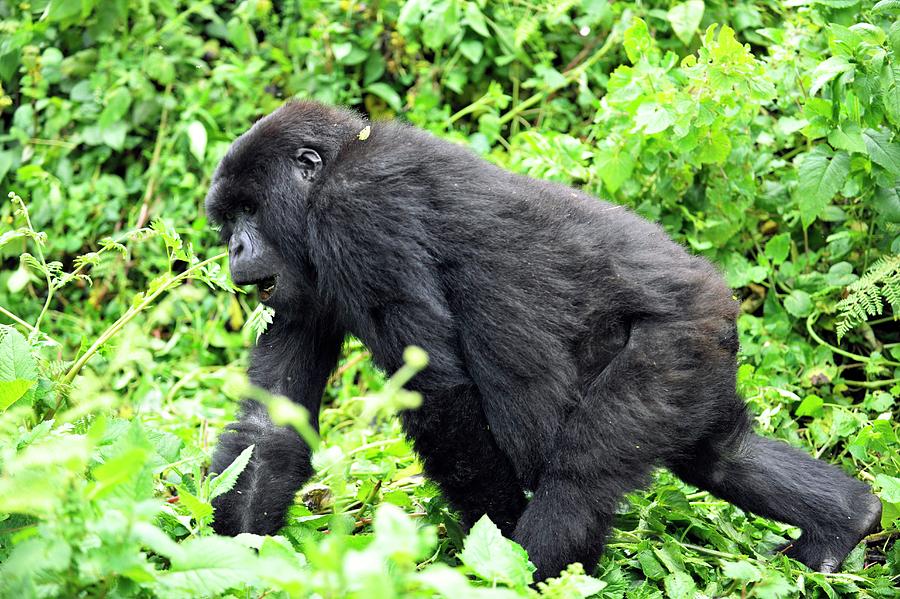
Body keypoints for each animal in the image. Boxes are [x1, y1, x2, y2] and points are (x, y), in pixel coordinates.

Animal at [204, 101, 880, 580]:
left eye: (249, 211)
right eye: (228, 219)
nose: (234, 249)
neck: (339, 161)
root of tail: (717, 293)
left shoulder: (357, 214)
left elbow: (441, 396)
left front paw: (496, 545)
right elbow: (270, 425)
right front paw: (239, 563)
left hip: (673, 341)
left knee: (577, 475)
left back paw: (531, 572)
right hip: (701, 353)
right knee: (719, 452)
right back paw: (845, 522)